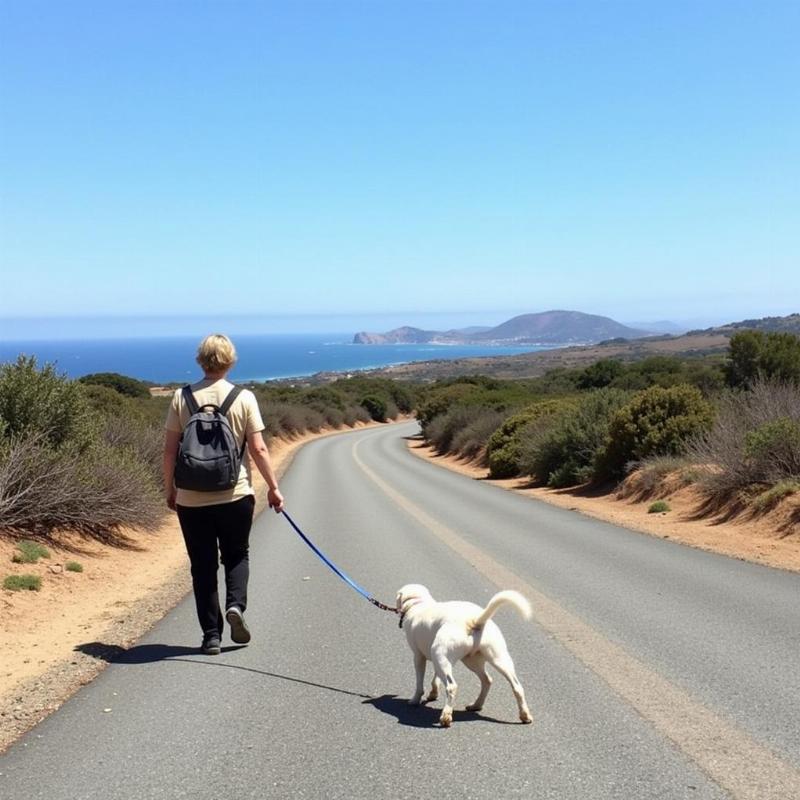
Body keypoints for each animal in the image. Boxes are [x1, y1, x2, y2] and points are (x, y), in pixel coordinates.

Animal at [394, 584, 532, 728]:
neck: (418, 603)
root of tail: (474, 621)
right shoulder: (436, 661)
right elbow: (435, 678)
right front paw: (433, 693)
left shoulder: (419, 657)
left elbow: (419, 684)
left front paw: (415, 700)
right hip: (489, 659)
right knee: (505, 684)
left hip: (442, 655)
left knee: (452, 687)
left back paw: (446, 716)